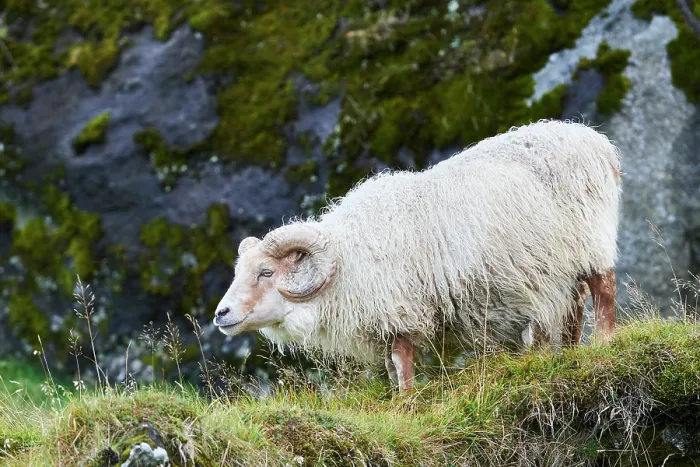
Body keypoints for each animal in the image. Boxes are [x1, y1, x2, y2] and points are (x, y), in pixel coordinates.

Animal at [213, 119, 622, 391]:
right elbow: (392, 368)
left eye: (266, 272)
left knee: (604, 287)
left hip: (590, 240)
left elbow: (402, 361)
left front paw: (407, 401)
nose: (221, 314)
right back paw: (568, 354)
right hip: (560, 261)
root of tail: (597, 141)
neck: (346, 260)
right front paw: (398, 399)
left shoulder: (398, 310)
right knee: (574, 305)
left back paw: (604, 342)